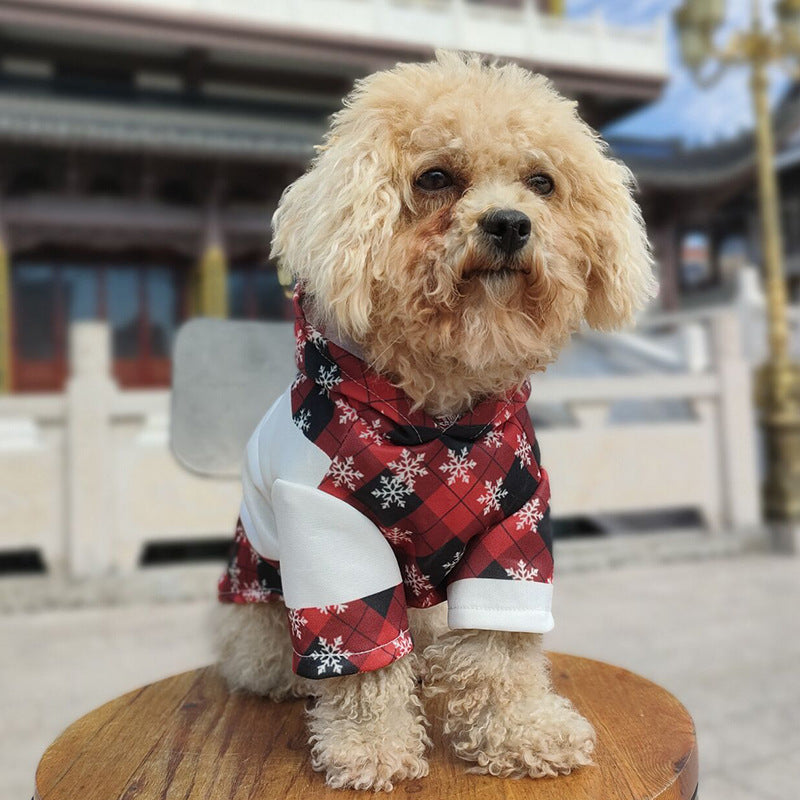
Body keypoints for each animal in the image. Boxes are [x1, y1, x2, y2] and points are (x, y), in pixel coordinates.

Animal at [214, 51, 656, 792]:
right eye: (436, 178)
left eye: (542, 182)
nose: (509, 223)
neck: (440, 428)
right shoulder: (328, 529)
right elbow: (362, 652)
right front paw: (370, 747)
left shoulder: (515, 528)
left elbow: (501, 651)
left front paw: (522, 732)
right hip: (260, 581)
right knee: (273, 651)